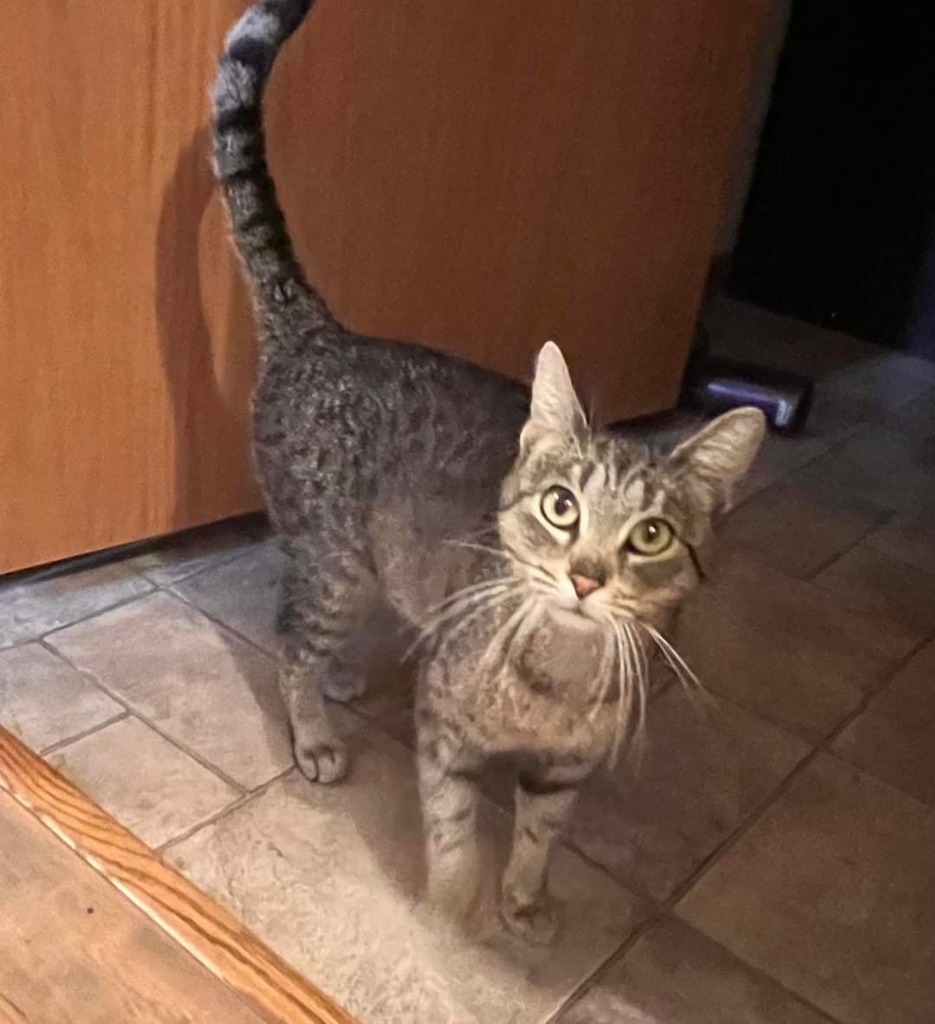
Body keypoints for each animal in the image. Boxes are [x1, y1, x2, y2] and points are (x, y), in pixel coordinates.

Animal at [213, 0, 766, 942]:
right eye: (560, 507)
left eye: (651, 534)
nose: (585, 577)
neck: (559, 675)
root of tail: (322, 331)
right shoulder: (444, 732)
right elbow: (451, 826)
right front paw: (450, 905)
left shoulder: (565, 769)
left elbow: (540, 833)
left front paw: (524, 899)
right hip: (333, 565)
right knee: (288, 637)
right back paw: (314, 728)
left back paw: (339, 676)